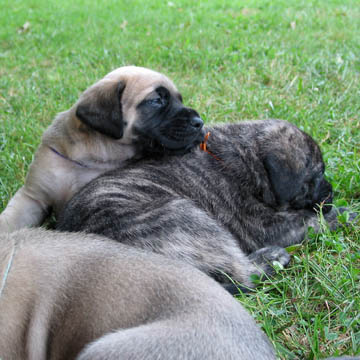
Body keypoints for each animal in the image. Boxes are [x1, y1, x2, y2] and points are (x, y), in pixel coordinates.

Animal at [57, 119, 342, 288]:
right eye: (317, 176)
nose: (331, 193)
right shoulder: (265, 227)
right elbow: (307, 220)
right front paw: (341, 215)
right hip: (185, 216)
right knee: (240, 274)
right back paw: (272, 258)